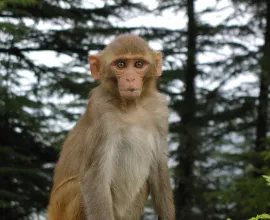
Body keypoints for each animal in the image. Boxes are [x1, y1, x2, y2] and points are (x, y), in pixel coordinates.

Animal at [47, 34, 175, 220]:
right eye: (121, 64)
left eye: (138, 64)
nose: (130, 78)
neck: (131, 107)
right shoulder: (101, 113)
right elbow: (94, 178)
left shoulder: (159, 110)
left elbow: (159, 168)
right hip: (62, 206)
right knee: (77, 186)